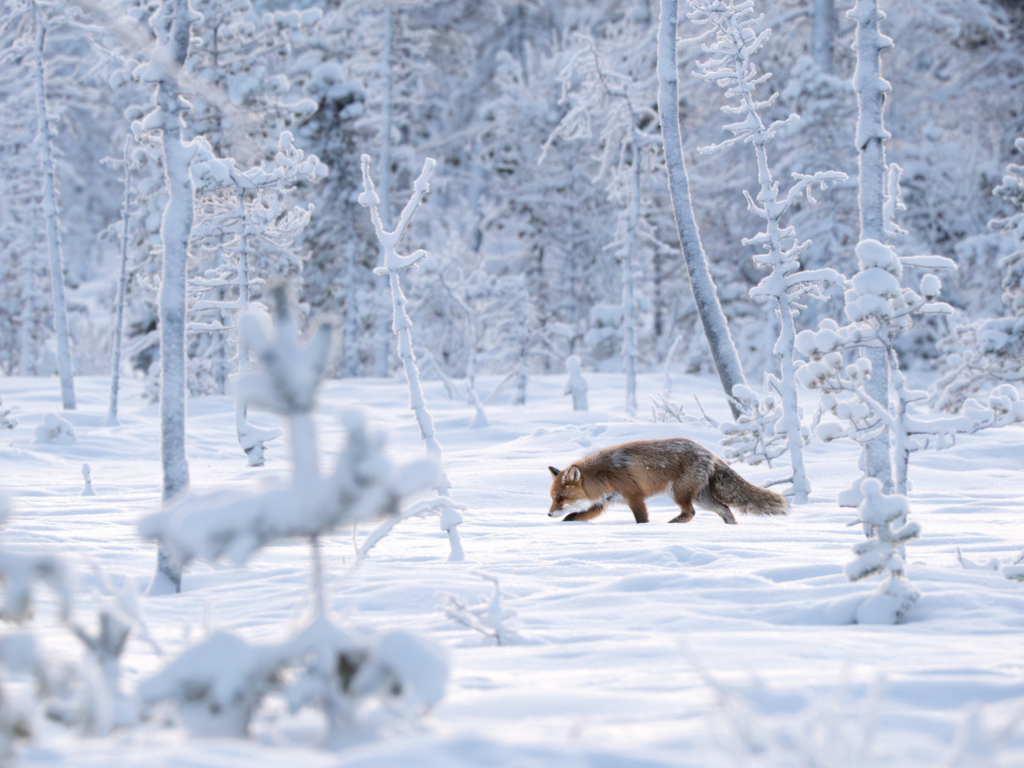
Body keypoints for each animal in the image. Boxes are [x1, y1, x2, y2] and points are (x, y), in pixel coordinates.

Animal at [547, 437, 787, 524]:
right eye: (553, 498)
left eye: (561, 497)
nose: (548, 514)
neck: (602, 477)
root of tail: (709, 452)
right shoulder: (602, 503)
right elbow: (573, 517)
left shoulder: (634, 496)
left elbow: (641, 519)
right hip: (701, 498)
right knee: (726, 510)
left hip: (678, 493)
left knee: (690, 513)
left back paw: (672, 524)